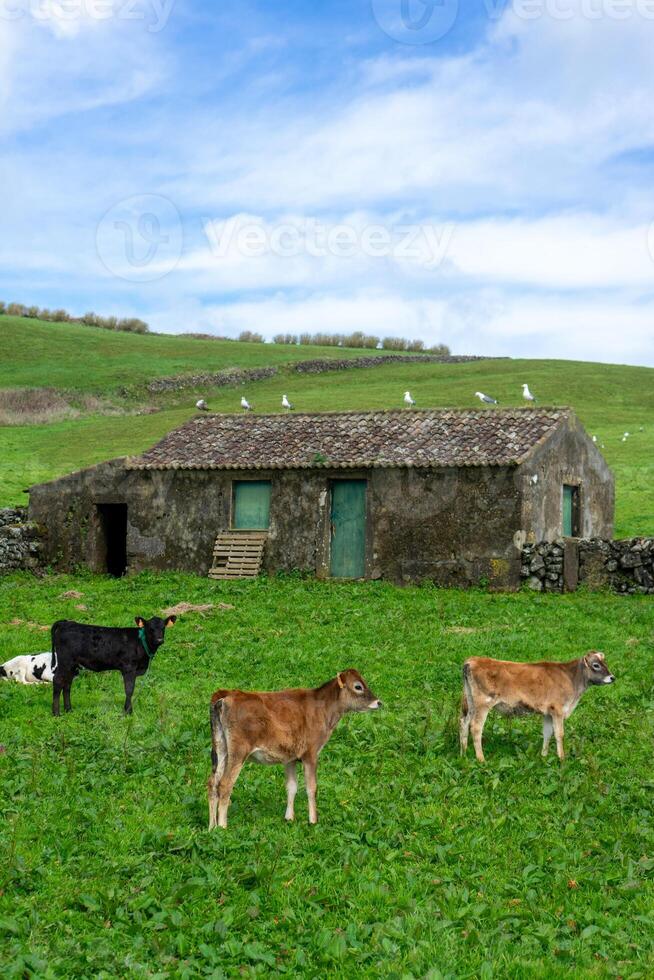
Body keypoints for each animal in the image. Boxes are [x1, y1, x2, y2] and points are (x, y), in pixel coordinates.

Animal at [209, 668, 384, 828]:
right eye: (358, 686)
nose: (378, 702)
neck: (324, 710)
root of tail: (226, 694)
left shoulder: (290, 757)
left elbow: (292, 786)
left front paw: (289, 818)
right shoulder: (311, 753)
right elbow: (311, 787)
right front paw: (313, 821)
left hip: (220, 747)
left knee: (212, 782)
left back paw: (212, 827)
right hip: (239, 751)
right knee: (225, 784)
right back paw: (222, 826)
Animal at [462, 656, 616, 760]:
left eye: (605, 662)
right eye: (596, 665)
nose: (612, 677)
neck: (571, 678)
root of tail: (472, 660)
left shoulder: (548, 712)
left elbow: (547, 733)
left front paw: (544, 756)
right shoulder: (558, 710)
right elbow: (559, 734)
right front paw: (562, 758)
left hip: (469, 702)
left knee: (464, 723)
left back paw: (463, 752)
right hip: (483, 704)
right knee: (475, 727)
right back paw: (481, 759)